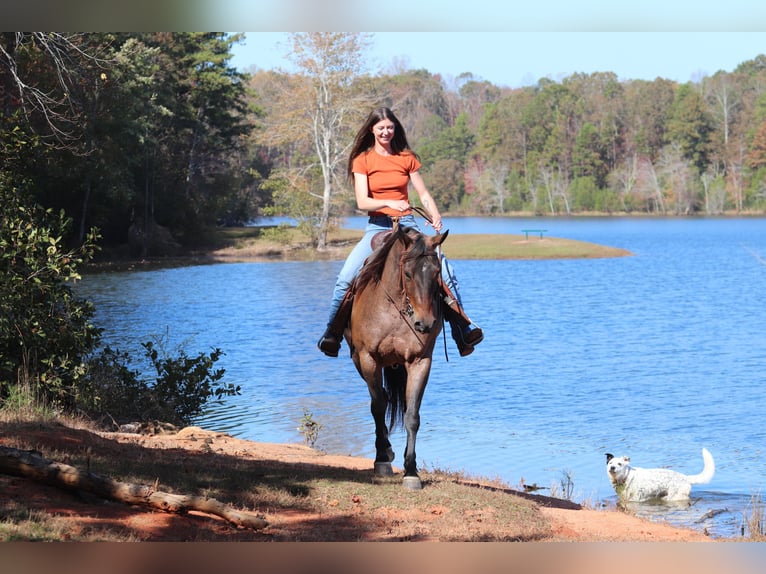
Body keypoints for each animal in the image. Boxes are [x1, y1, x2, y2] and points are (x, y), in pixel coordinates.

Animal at [344, 225, 448, 490]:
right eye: (408, 274)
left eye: (437, 274)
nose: (425, 323)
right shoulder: (369, 359)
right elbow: (378, 406)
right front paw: (381, 459)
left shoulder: (420, 362)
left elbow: (412, 415)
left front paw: (411, 471)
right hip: (358, 361)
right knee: (380, 400)